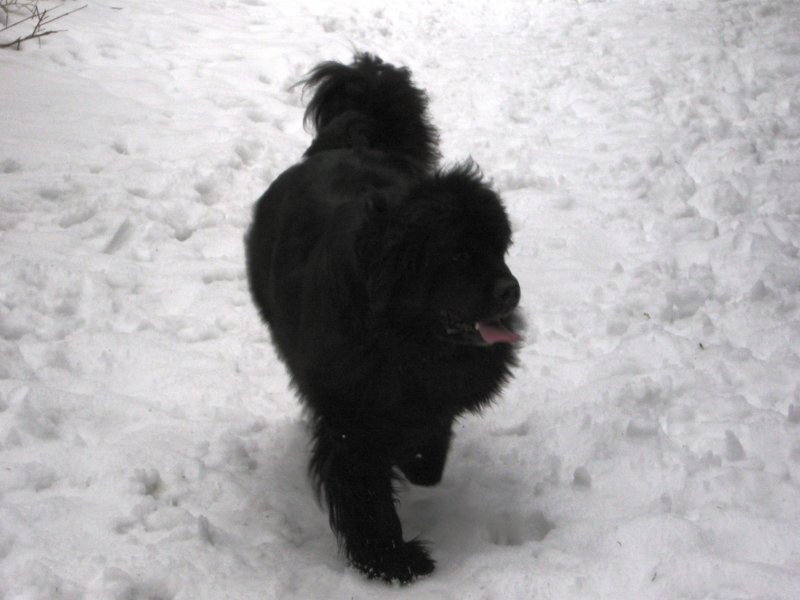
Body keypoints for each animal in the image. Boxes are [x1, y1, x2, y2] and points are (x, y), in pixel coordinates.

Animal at [245, 53, 521, 583]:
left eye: (500, 249)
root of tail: (344, 140)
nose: (511, 290)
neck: (401, 338)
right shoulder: (351, 420)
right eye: (458, 255)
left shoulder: (437, 389)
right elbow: (365, 493)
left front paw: (419, 462)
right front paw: (392, 559)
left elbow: (430, 430)